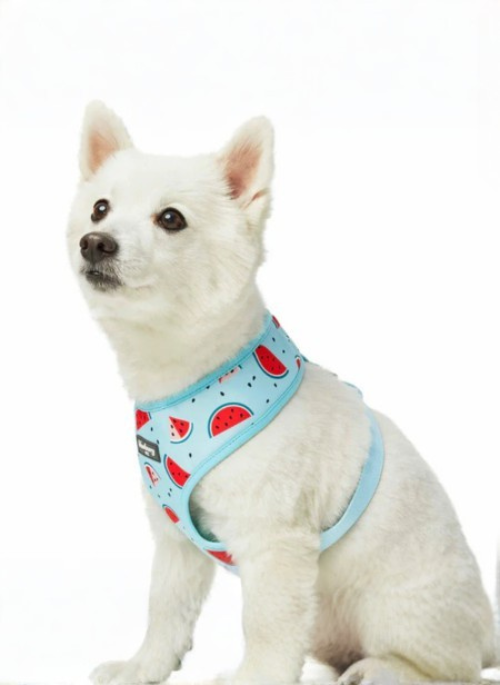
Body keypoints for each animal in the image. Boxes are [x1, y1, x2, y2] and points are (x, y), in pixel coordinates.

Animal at [67, 101, 497, 685]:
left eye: (171, 219)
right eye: (100, 209)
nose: (96, 242)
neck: (190, 381)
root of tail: (488, 631)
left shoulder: (276, 543)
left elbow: (265, 625)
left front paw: (254, 677)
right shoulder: (176, 542)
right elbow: (165, 610)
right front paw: (143, 667)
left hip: (396, 608)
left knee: (452, 669)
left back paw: (378, 669)